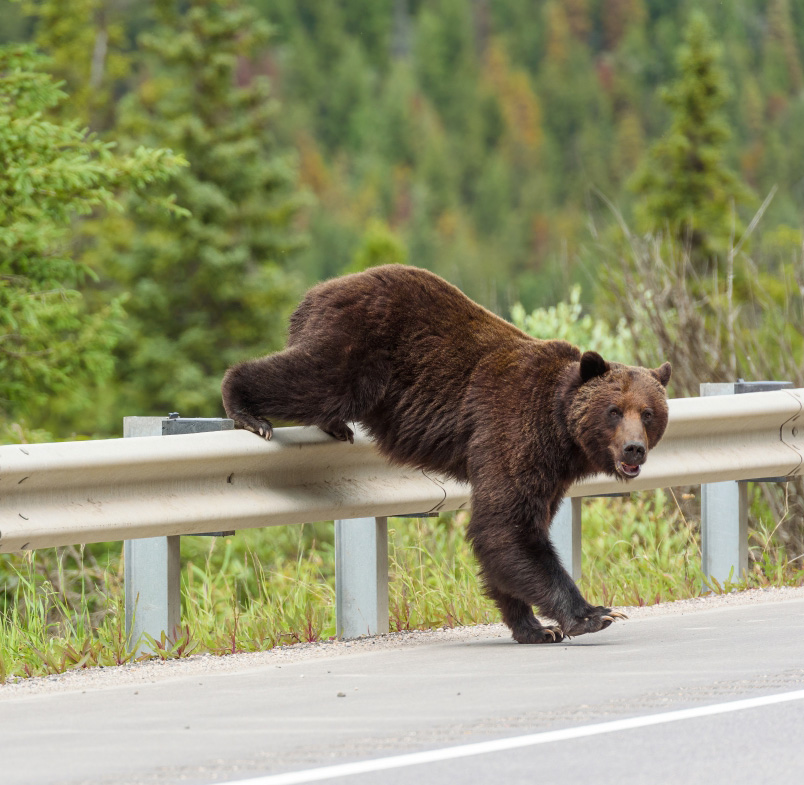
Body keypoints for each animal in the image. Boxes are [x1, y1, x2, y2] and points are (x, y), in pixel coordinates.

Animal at [222, 265, 671, 643]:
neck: (561, 430)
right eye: (614, 411)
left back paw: (332, 425)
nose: (634, 449)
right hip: (358, 342)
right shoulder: (512, 430)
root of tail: (317, 291)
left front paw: (534, 626)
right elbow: (506, 527)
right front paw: (593, 614)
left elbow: (514, 535)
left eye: (648, 413)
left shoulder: (550, 470)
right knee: (314, 377)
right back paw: (246, 408)